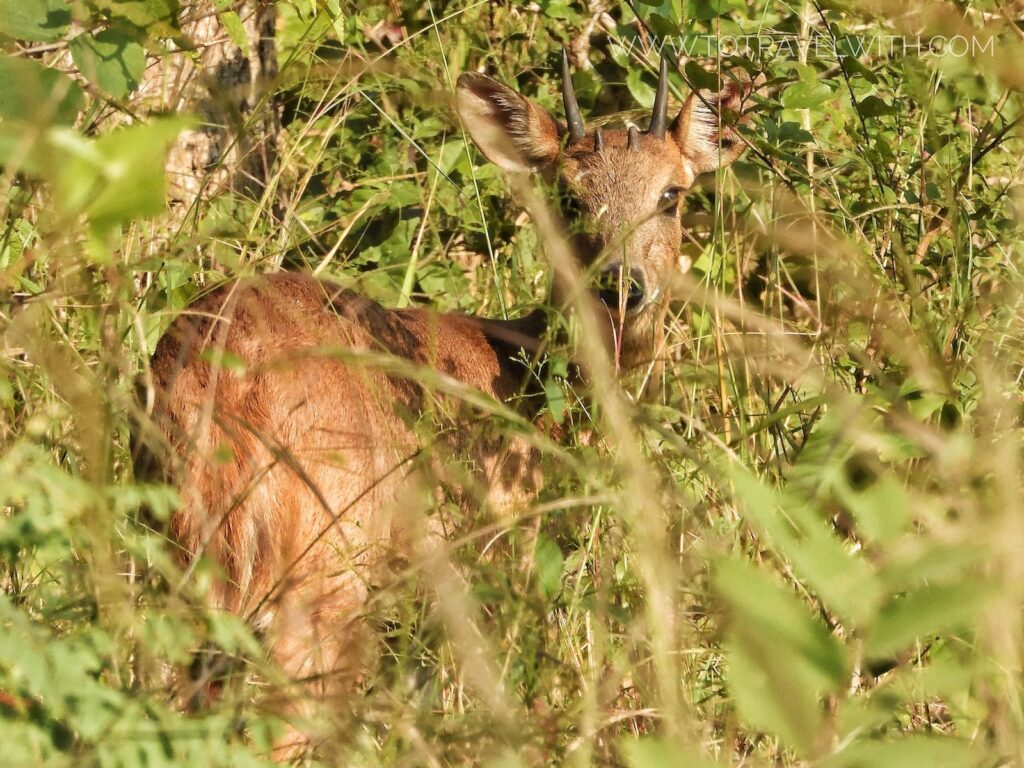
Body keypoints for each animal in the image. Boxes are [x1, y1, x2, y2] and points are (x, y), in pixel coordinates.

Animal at [142, 52, 753, 753]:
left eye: (670, 194)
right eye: (569, 197)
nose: (622, 283)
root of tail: (222, 388)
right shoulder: (505, 550)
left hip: (181, 556)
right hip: (328, 556)